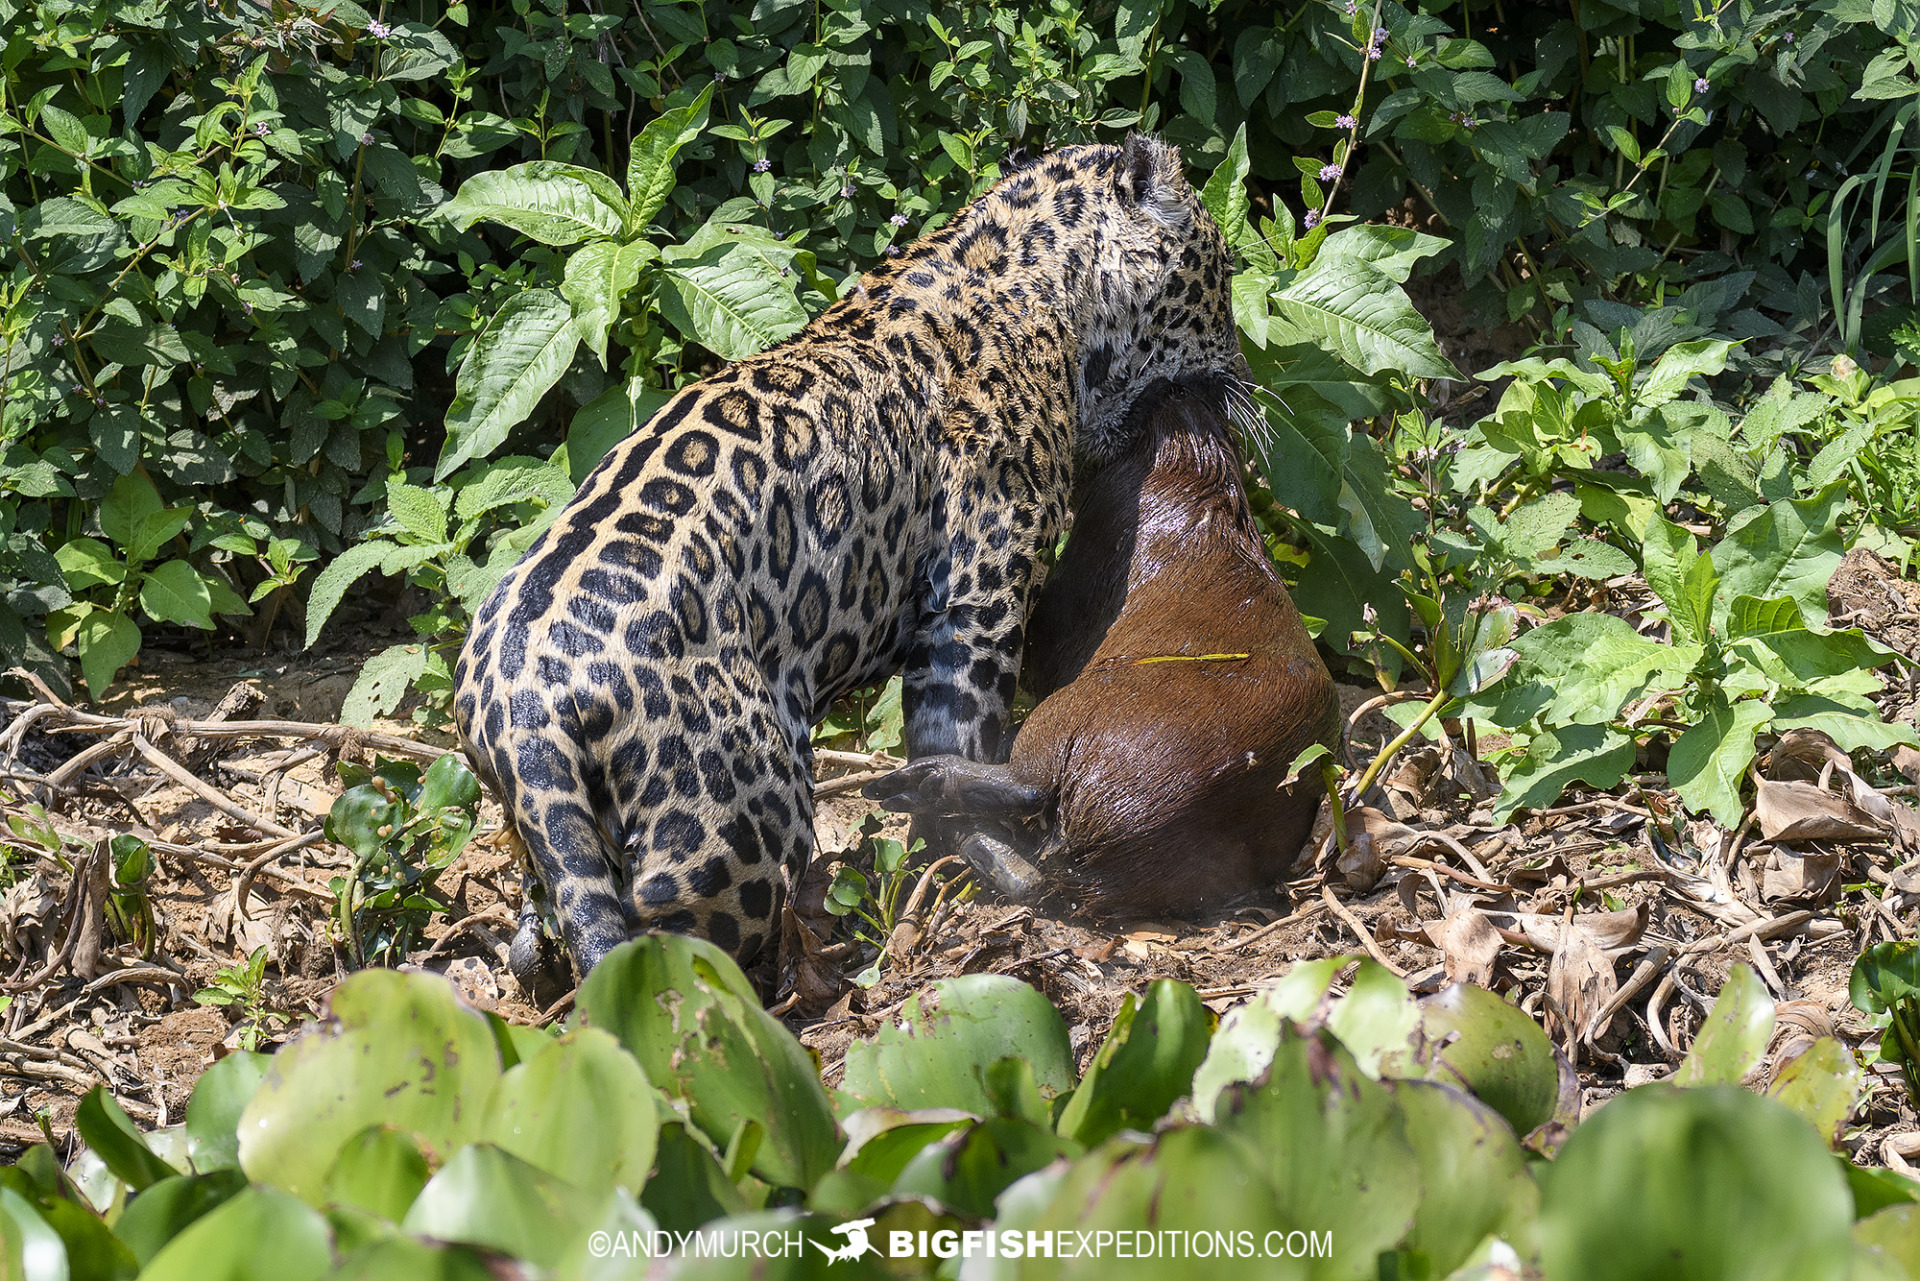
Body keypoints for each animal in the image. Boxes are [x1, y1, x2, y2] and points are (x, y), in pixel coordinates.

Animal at [452, 134, 1245, 988]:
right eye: (1222, 277)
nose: (1240, 376)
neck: (1043, 282)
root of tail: (519, 699)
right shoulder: (980, 588)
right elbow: (957, 732)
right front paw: (997, 857)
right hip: (738, 824)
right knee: (669, 947)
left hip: (543, 819)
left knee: (558, 899)